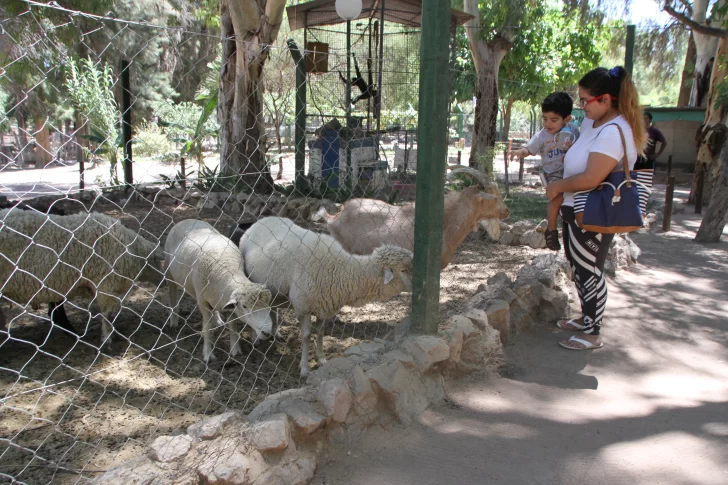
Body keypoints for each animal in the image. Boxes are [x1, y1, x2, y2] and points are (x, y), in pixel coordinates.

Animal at [0, 207, 165, 340]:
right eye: (159, 263)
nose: (164, 282)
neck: (133, 251)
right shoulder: (106, 285)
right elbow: (107, 315)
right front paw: (108, 338)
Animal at [164, 217, 276, 362]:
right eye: (245, 306)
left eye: (268, 305)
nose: (267, 333)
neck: (226, 268)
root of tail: (187, 219)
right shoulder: (203, 301)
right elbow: (208, 328)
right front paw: (208, 354)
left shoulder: (228, 302)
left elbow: (233, 327)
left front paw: (235, 351)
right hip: (169, 272)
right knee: (172, 295)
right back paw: (173, 321)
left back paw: (217, 319)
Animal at [237, 216, 410, 378]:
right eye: (403, 270)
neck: (341, 270)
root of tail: (261, 220)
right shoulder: (303, 307)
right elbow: (306, 336)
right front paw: (304, 367)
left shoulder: (323, 306)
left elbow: (320, 333)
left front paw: (321, 359)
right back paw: (256, 337)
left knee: (273, 309)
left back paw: (276, 332)